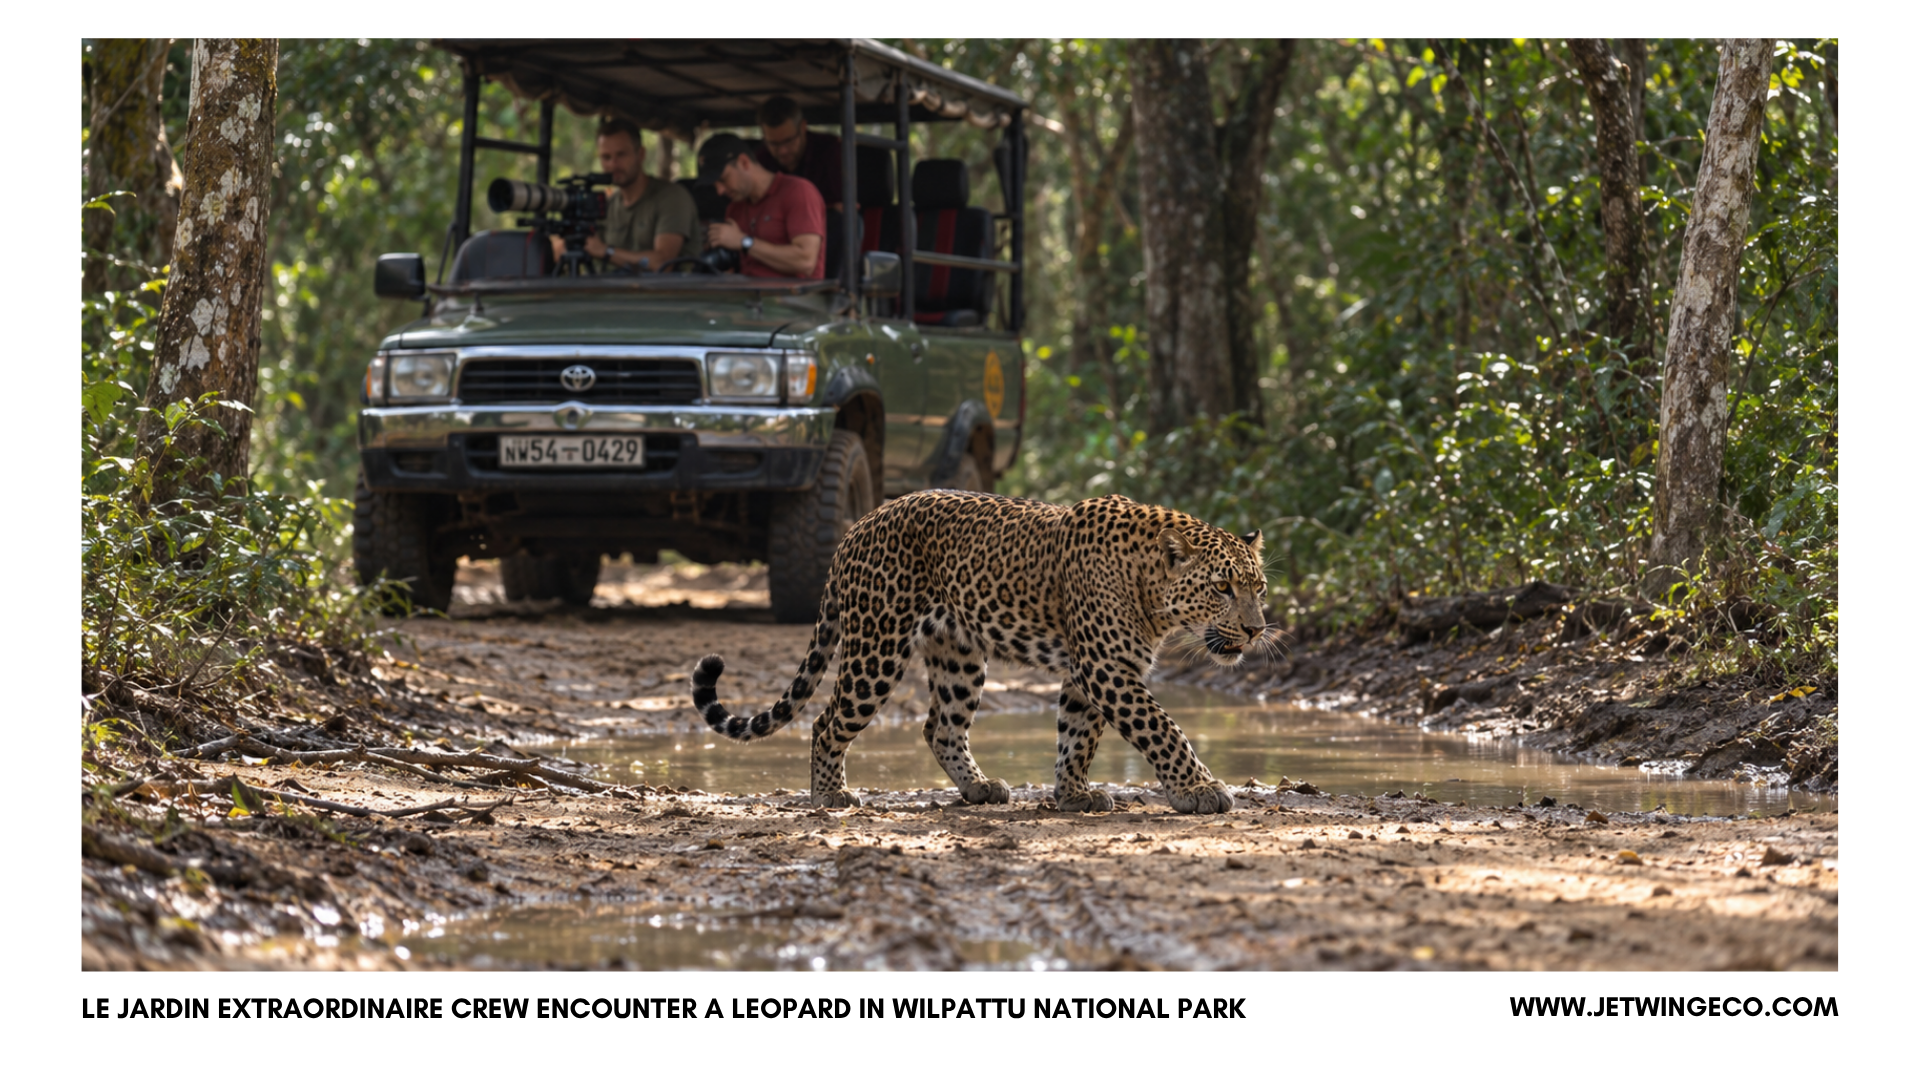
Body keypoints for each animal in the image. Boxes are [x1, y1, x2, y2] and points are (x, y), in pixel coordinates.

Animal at [689, 490, 1274, 814]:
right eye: (1222, 587)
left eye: (1260, 588)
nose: (1255, 630)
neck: (1150, 587)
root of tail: (858, 525)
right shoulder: (1107, 667)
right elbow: (1163, 729)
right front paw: (1200, 789)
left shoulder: (1089, 672)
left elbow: (1078, 735)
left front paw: (1073, 795)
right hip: (877, 646)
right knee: (826, 721)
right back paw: (830, 795)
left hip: (959, 654)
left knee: (940, 726)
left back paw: (979, 787)